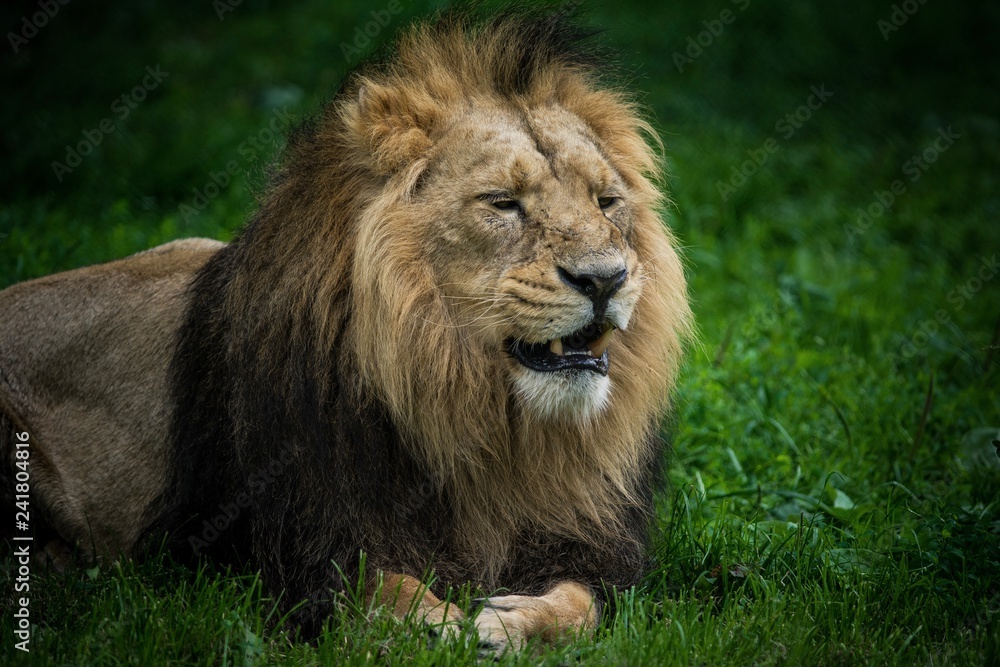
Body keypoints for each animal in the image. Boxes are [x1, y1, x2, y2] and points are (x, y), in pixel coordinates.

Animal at [0, 7, 691, 652]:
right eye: (502, 203)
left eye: (606, 202)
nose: (605, 279)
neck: (476, 410)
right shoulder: (284, 538)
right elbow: (370, 587)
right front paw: (438, 624)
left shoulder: (589, 538)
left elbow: (584, 604)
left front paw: (514, 621)